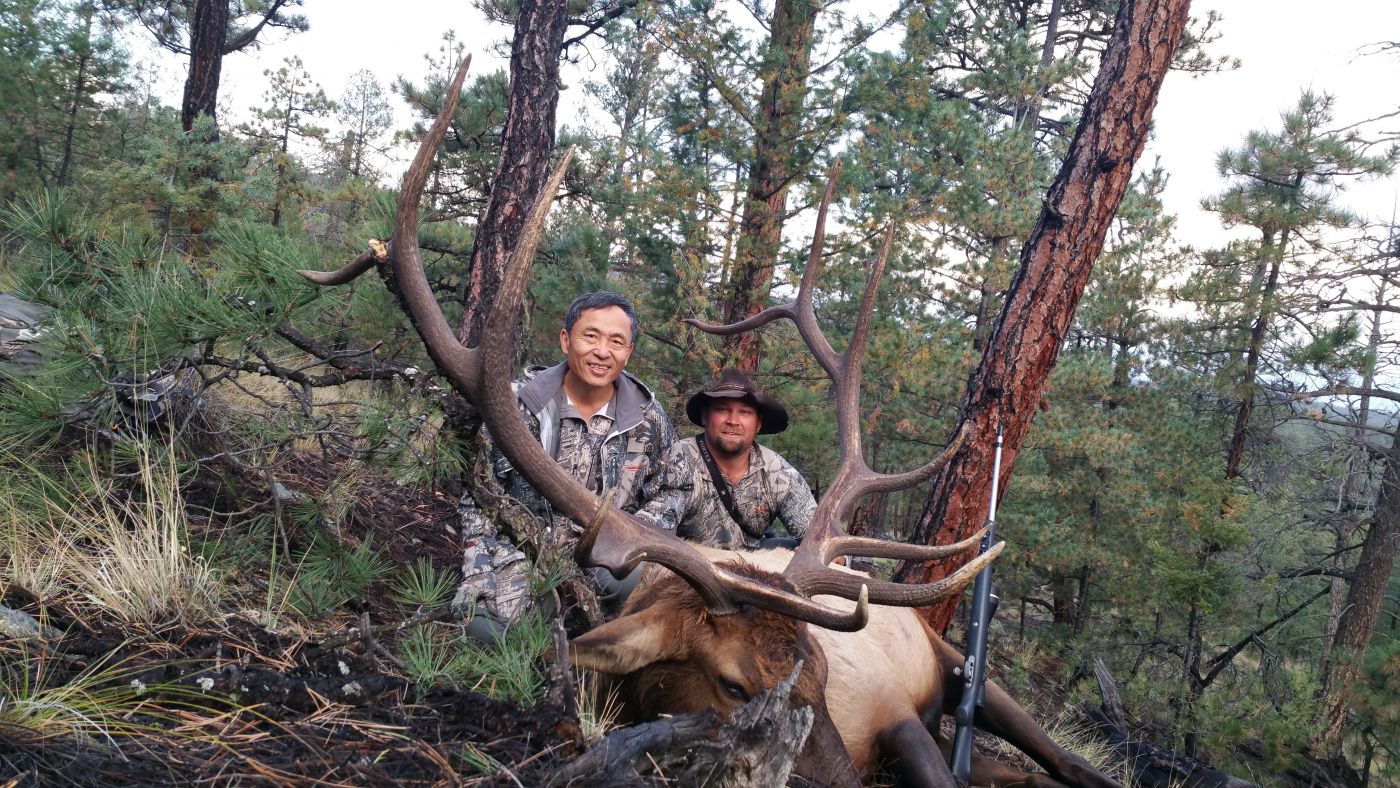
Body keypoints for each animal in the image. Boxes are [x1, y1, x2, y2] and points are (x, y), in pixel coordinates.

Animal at [301, 55, 1121, 788]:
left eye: (819, 675)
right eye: (733, 684)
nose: (841, 780)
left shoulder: (893, 711)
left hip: (954, 662)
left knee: (1063, 755)